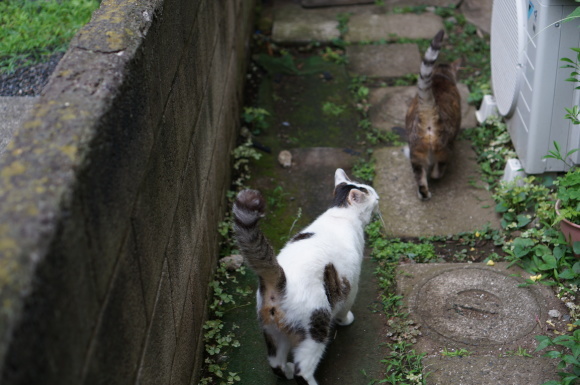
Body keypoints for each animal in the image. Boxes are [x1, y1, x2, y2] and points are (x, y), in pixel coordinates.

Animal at [232, 168, 380, 384]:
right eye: (372, 195)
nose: (379, 198)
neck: (340, 214)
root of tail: (280, 282)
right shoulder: (351, 283)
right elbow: (346, 306)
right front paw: (346, 319)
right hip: (314, 331)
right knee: (302, 372)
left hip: (273, 332)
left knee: (276, 365)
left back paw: (286, 370)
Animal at [404, 29, 462, 201]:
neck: (440, 76)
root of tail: (428, 111)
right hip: (445, 148)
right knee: (440, 167)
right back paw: (436, 175)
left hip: (416, 153)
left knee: (421, 180)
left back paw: (424, 194)